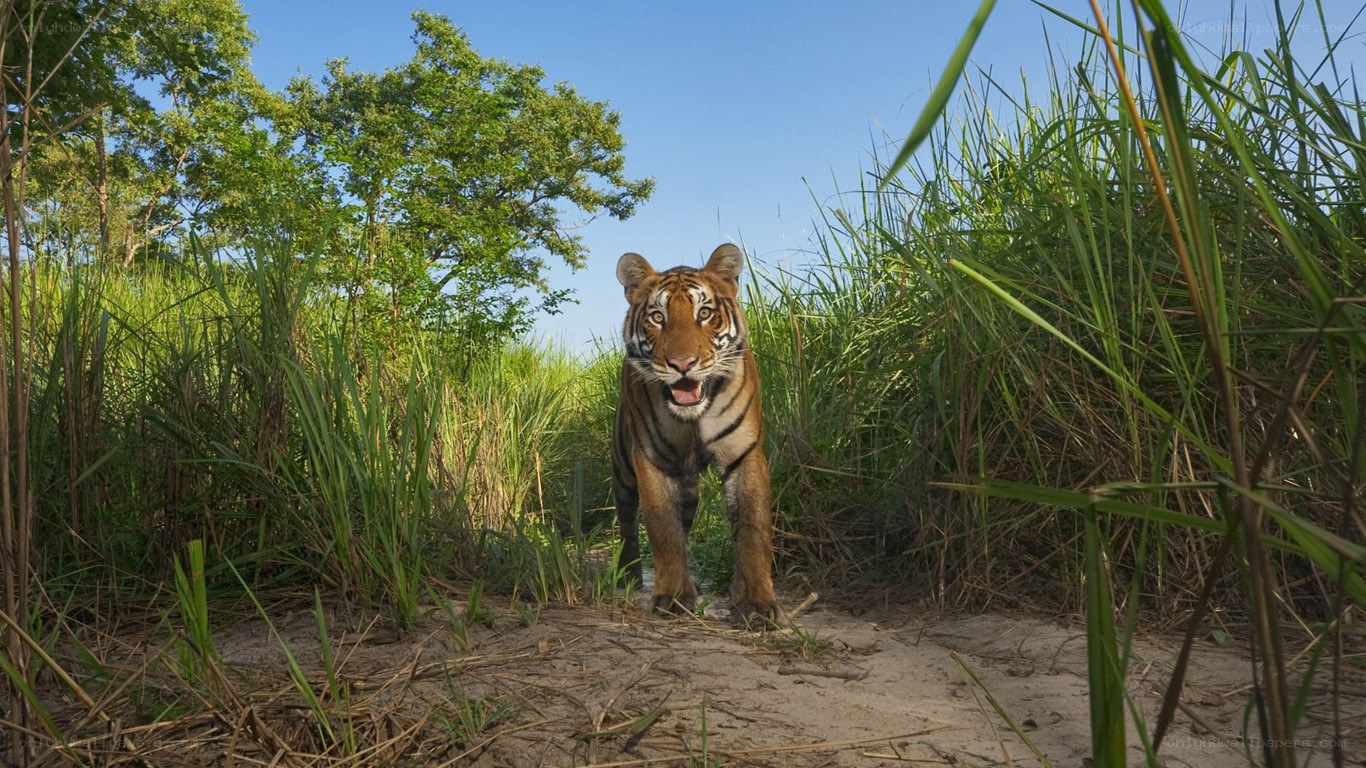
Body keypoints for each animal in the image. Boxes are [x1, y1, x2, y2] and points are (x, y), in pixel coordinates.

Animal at [611, 243, 783, 628]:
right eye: (657, 317)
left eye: (704, 313)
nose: (682, 364)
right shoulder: (651, 461)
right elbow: (663, 530)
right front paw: (674, 596)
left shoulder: (744, 455)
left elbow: (753, 530)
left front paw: (755, 602)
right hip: (624, 469)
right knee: (627, 520)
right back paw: (628, 575)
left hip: (687, 488)